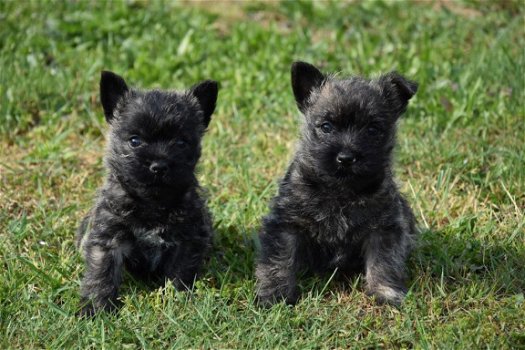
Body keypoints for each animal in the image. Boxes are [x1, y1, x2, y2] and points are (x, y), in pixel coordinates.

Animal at [76, 72, 217, 318]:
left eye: (181, 142)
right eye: (135, 140)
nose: (159, 165)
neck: (152, 203)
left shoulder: (188, 240)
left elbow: (180, 274)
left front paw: (177, 302)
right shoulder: (108, 239)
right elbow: (101, 273)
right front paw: (97, 308)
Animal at [254, 62, 418, 306]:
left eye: (372, 129)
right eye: (326, 126)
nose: (346, 158)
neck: (340, 190)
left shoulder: (384, 228)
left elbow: (384, 262)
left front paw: (386, 292)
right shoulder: (286, 224)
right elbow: (279, 260)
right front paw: (275, 294)